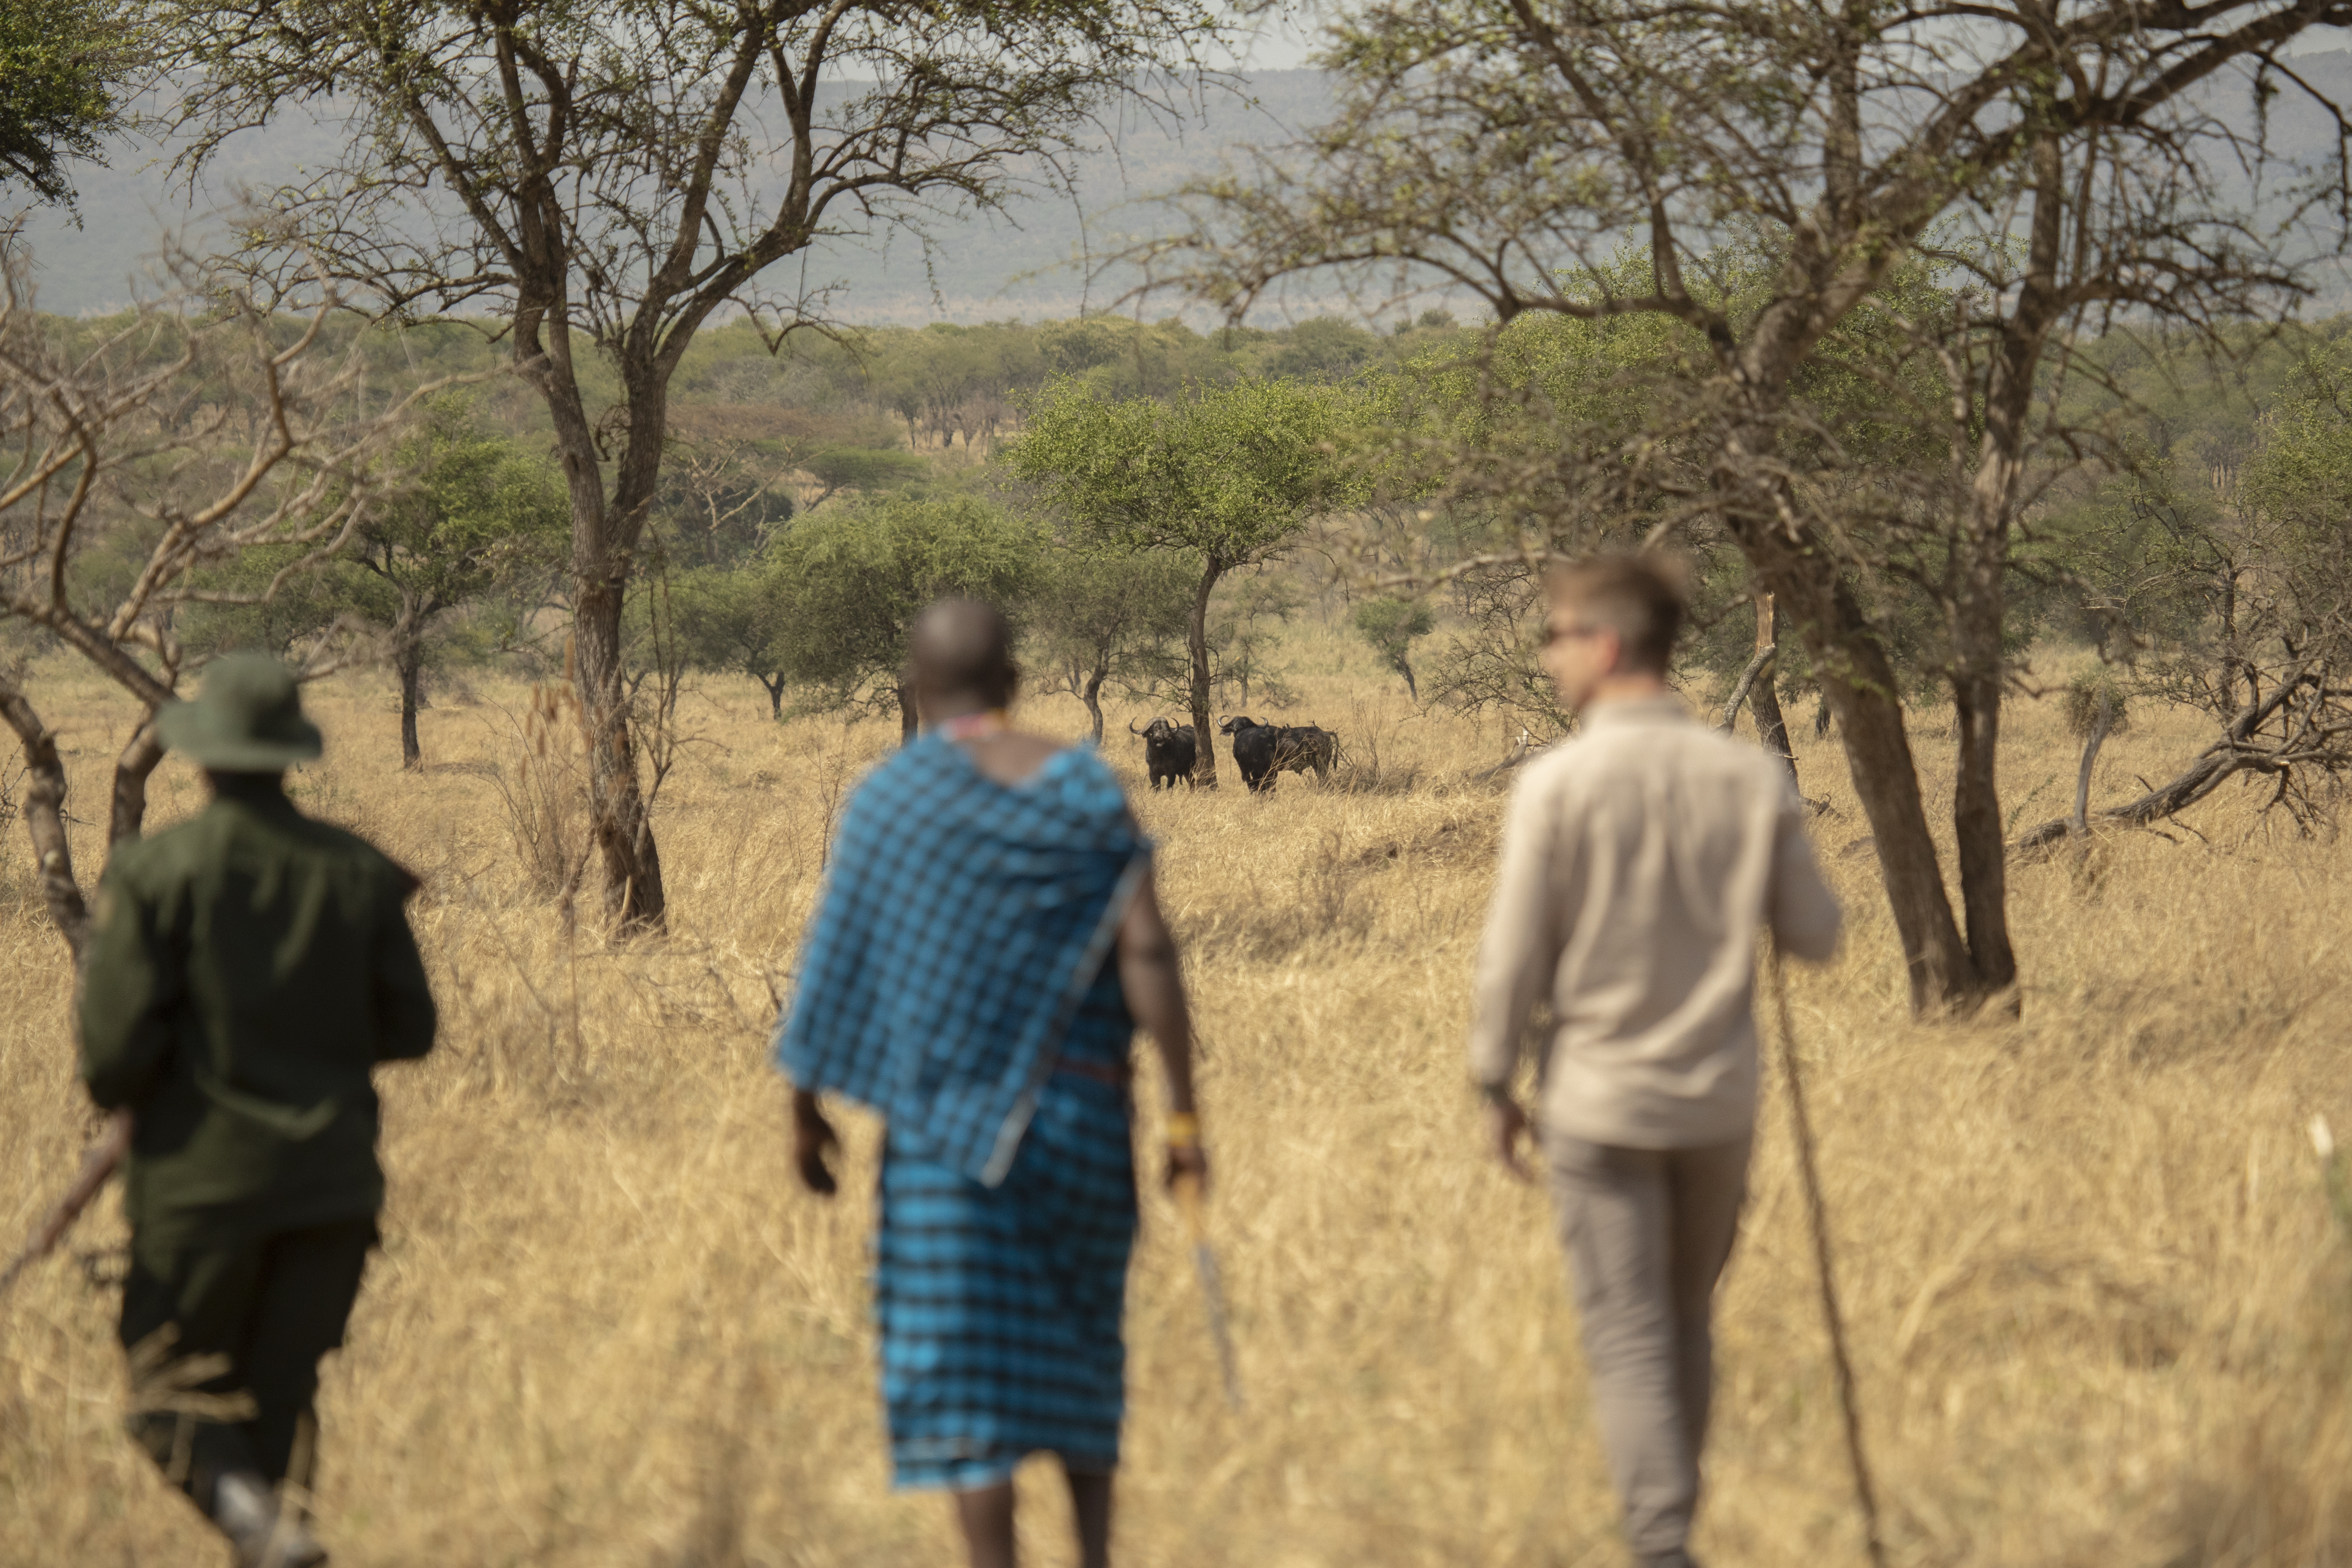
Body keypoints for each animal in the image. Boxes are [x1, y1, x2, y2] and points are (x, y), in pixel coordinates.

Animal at [1128, 716, 1198, 790]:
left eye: (1167, 727)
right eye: (1156, 728)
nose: (1169, 736)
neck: (1159, 756)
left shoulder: (1171, 773)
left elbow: (1169, 787)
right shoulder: (1153, 773)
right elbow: (1157, 787)